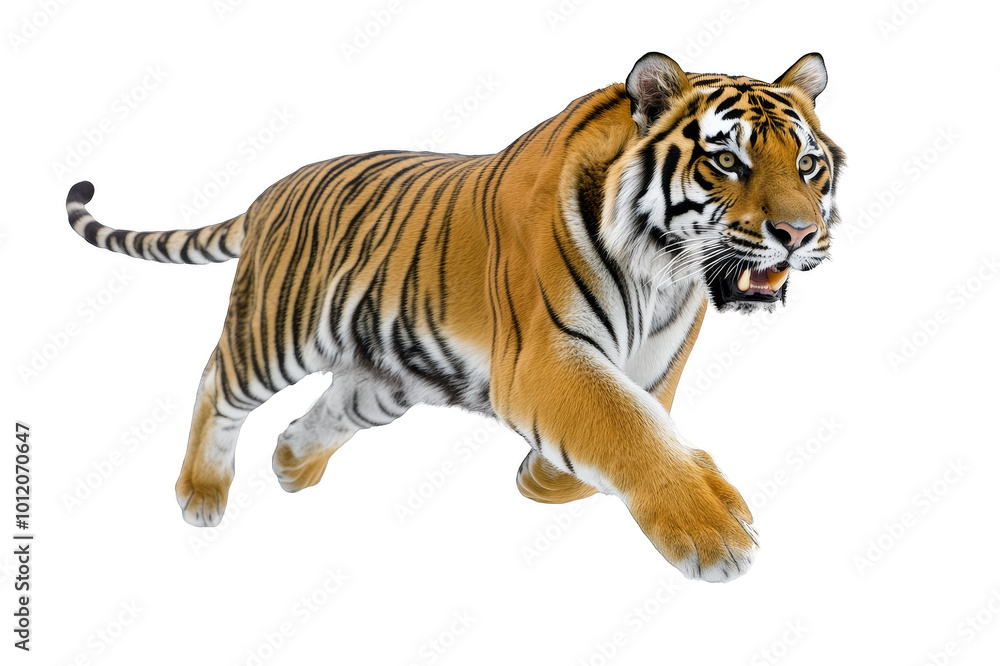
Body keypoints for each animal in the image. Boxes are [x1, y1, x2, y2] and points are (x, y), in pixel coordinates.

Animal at [66, 52, 843, 582]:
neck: (662, 275)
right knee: (214, 382)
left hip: (391, 374)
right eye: (727, 161)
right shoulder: (544, 359)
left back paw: (291, 463)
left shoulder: (655, 365)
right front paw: (716, 532)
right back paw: (201, 492)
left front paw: (543, 480)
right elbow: (626, 428)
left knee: (329, 409)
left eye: (808, 165)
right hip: (276, 332)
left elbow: (642, 422)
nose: (799, 234)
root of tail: (271, 190)